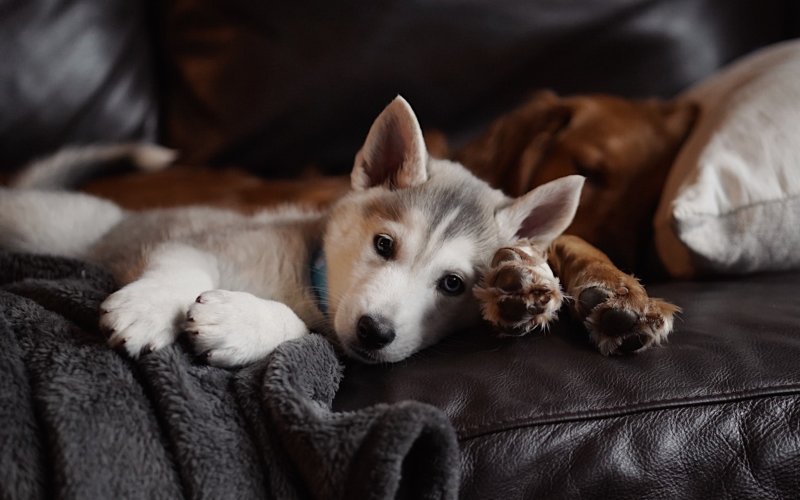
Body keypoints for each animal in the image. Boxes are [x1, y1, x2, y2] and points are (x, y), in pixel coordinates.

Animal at [0, 97, 580, 366]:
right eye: (384, 245)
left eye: (453, 284)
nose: (375, 332)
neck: (308, 279)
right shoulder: (204, 239)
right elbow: (180, 268)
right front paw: (147, 308)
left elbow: (303, 331)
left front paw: (240, 323)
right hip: (48, 224)